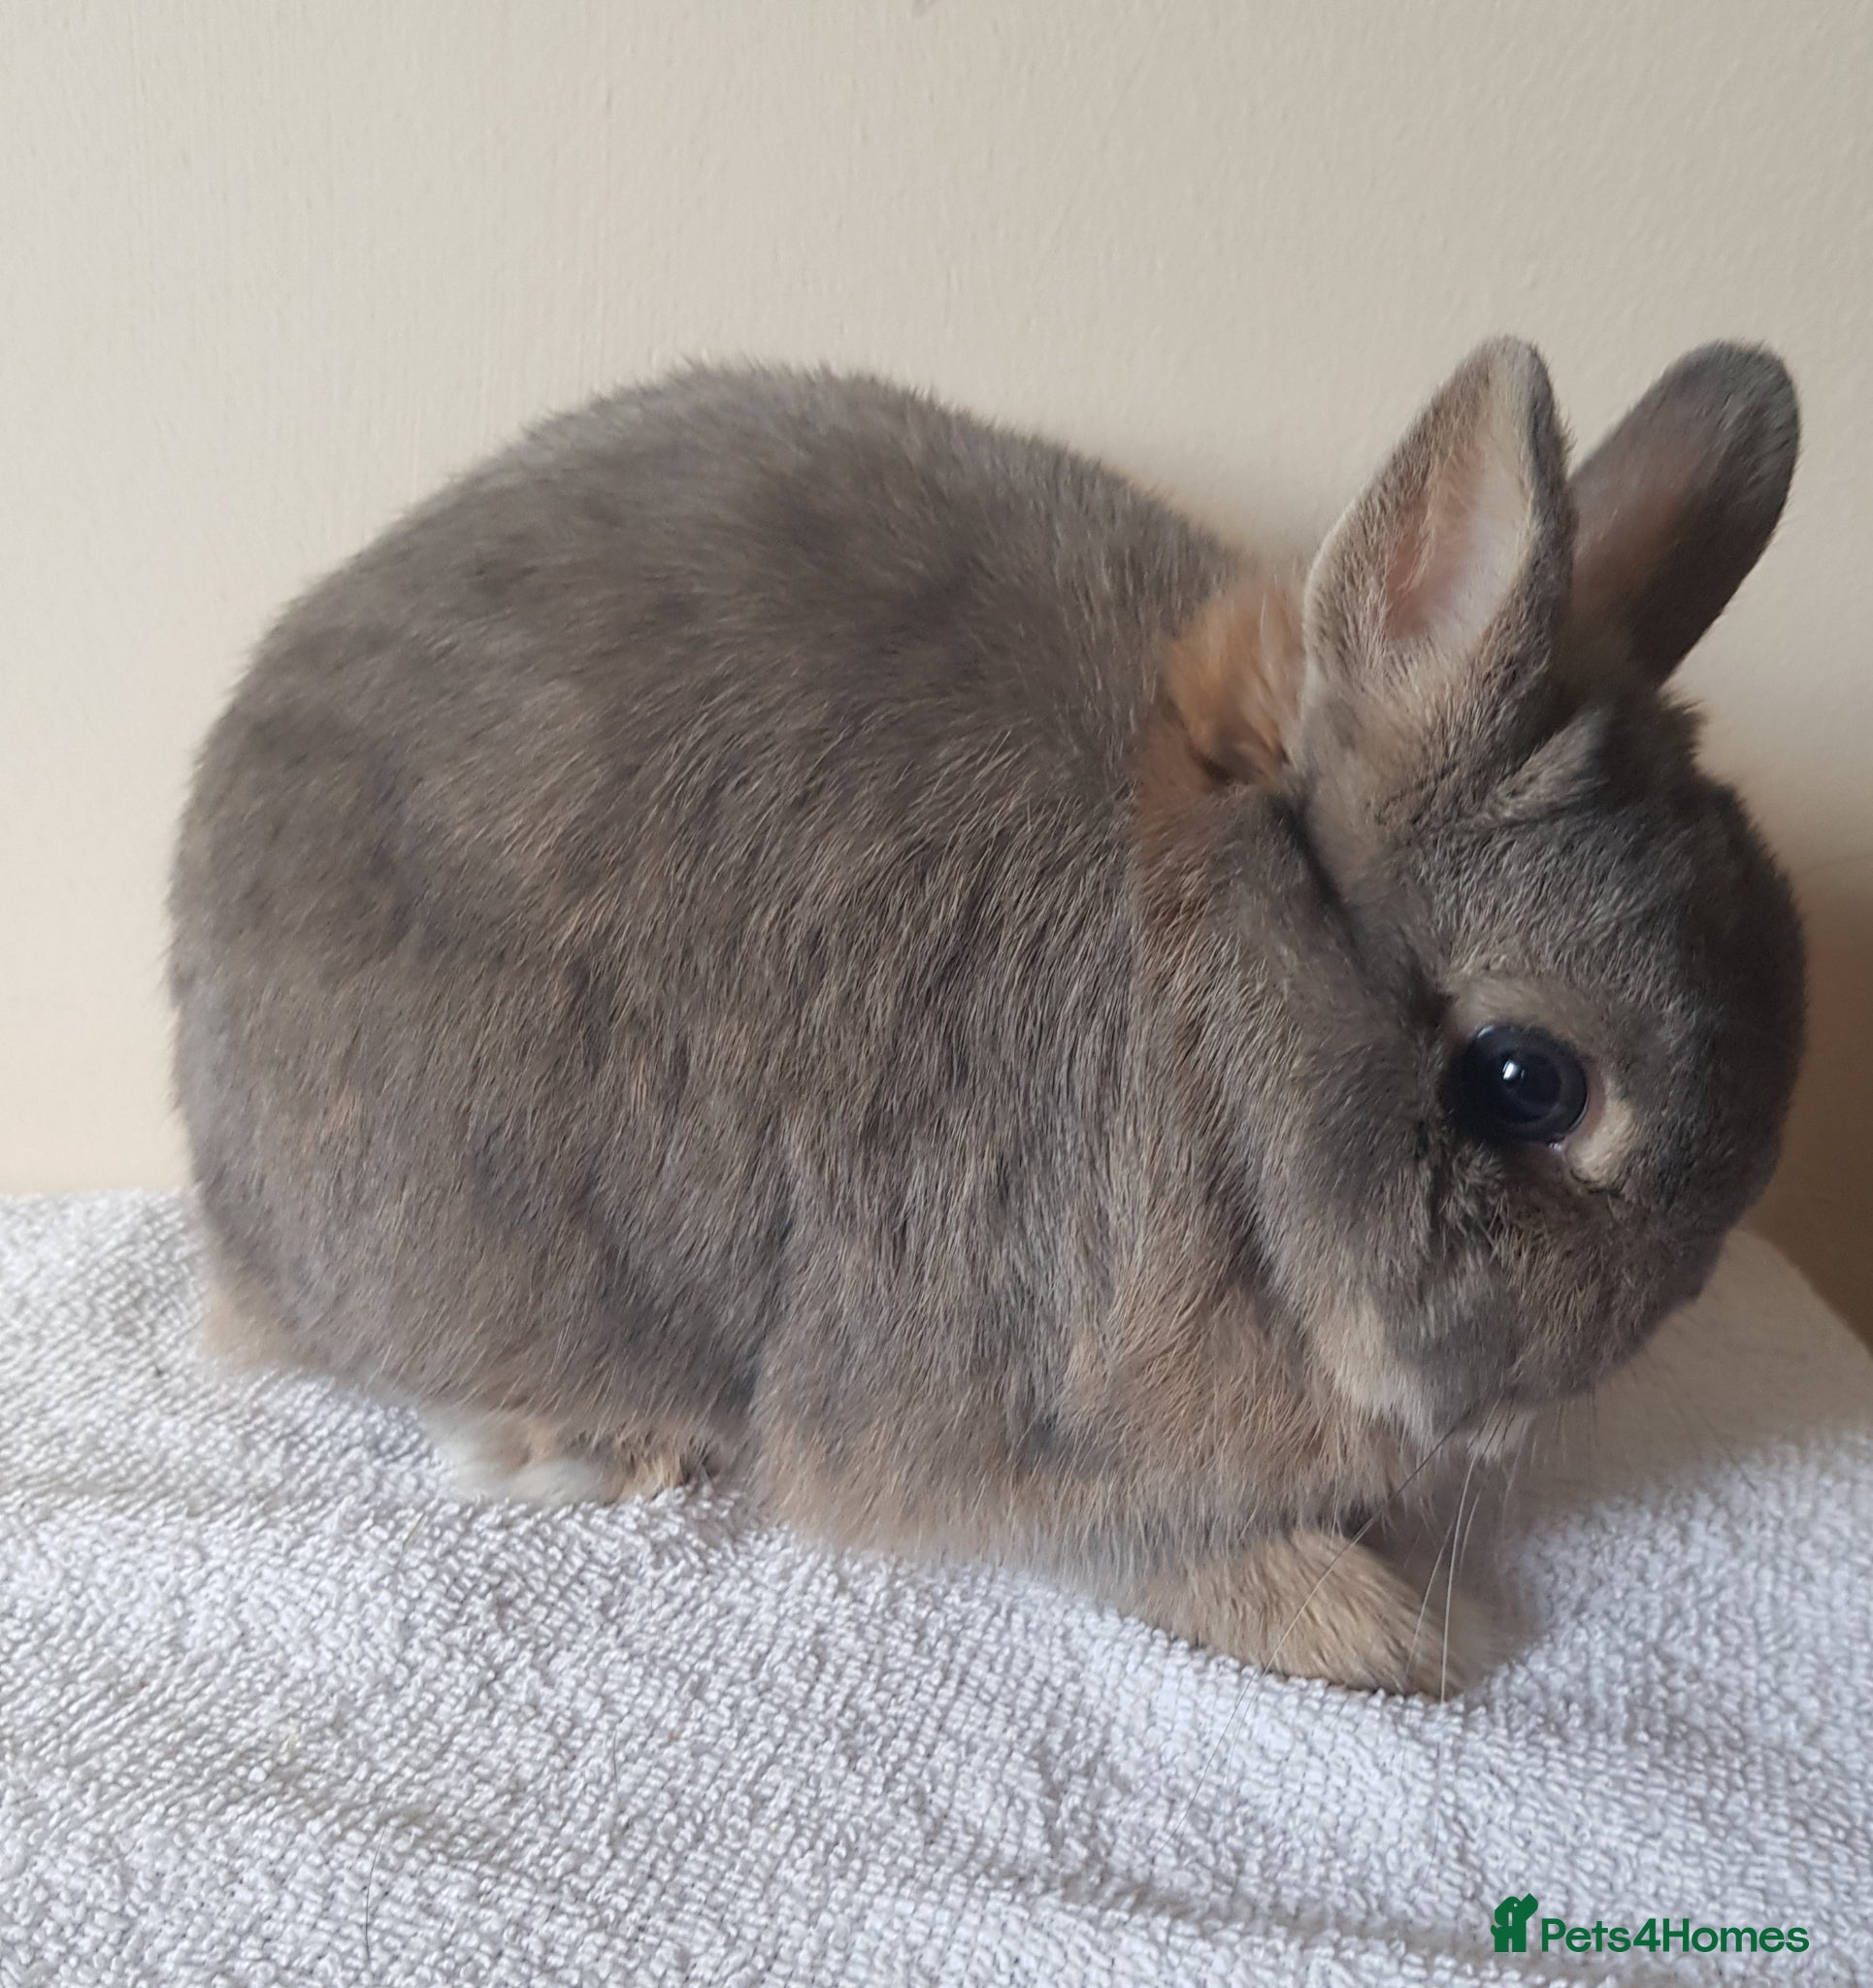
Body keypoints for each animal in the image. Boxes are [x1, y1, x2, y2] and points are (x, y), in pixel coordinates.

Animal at [170, 338, 1804, 1696]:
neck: (1220, 1049)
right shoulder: (1026, 1411)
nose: (1576, 1372)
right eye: (1526, 1080)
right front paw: (1378, 1628)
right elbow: (1144, 1549)